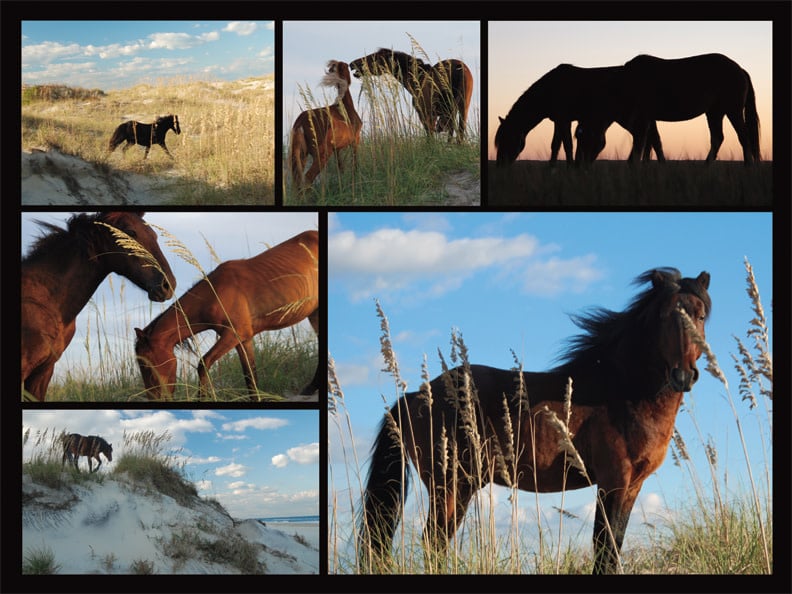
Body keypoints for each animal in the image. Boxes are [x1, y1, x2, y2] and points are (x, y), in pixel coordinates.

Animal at [134, 230, 320, 400]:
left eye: (146, 365)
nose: (153, 398)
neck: (214, 293)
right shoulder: (243, 340)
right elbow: (250, 377)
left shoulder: (233, 334)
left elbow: (203, 364)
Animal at [289, 61, 362, 192]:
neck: (344, 107)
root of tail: (300, 121)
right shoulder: (355, 140)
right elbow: (355, 164)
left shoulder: (337, 149)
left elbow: (340, 168)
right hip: (321, 155)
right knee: (307, 179)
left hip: (300, 155)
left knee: (298, 181)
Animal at [360, 268, 711, 575]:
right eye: (665, 316)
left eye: (701, 315)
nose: (684, 375)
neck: (618, 391)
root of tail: (413, 397)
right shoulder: (613, 480)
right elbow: (605, 548)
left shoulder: (632, 485)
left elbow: (615, 545)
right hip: (447, 484)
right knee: (433, 541)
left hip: (461, 487)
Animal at [494, 64, 665, 166]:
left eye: (507, 139)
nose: (500, 165)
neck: (551, 88)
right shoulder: (560, 120)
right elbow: (556, 145)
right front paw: (551, 169)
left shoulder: (564, 120)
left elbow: (567, 145)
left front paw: (569, 169)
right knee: (652, 139)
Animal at [575, 53, 760, 164]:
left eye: (584, 138)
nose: (578, 166)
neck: (626, 84)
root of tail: (740, 69)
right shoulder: (649, 119)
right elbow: (654, 142)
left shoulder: (643, 118)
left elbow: (646, 142)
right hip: (715, 112)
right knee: (717, 138)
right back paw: (706, 167)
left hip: (732, 110)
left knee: (744, 137)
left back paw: (748, 167)